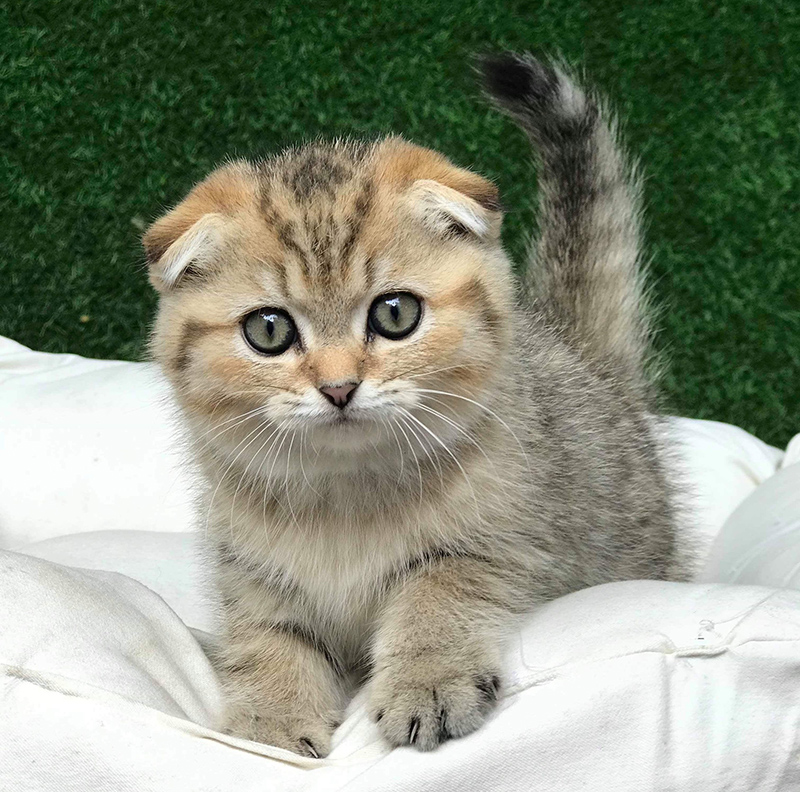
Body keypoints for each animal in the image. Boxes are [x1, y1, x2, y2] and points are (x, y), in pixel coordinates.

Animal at [141, 52, 684, 756]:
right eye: (269, 330)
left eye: (395, 314)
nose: (339, 387)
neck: (344, 499)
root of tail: (584, 354)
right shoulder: (251, 572)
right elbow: (269, 636)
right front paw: (273, 718)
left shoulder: (502, 539)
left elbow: (436, 592)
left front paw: (428, 681)